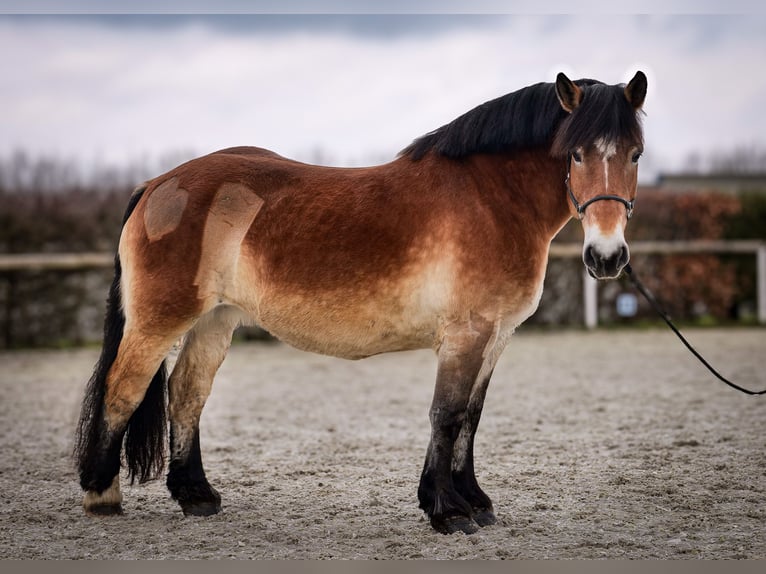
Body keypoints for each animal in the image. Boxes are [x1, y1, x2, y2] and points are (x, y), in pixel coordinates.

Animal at [73, 71, 648, 536]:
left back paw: (197, 496)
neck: (490, 199)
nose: (606, 257)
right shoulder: (465, 334)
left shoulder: (496, 335)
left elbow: (471, 416)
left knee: (187, 393)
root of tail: (157, 184)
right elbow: (447, 414)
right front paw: (448, 511)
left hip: (215, 320)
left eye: (636, 154)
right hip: (159, 321)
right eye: (576, 153)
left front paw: (474, 502)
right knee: (124, 389)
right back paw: (102, 494)